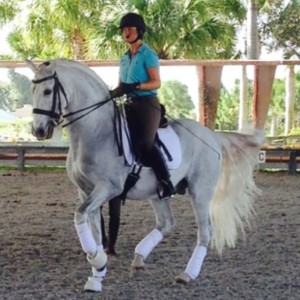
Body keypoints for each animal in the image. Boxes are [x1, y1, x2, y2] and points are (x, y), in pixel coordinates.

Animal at [27, 58, 264, 292]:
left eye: (48, 91)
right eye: (32, 90)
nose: (39, 131)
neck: (96, 132)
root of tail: (213, 136)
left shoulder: (108, 188)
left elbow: (79, 215)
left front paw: (98, 261)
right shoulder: (85, 192)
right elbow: (91, 227)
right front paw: (97, 274)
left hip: (201, 192)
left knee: (205, 231)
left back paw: (186, 274)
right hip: (158, 193)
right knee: (166, 222)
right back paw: (139, 258)